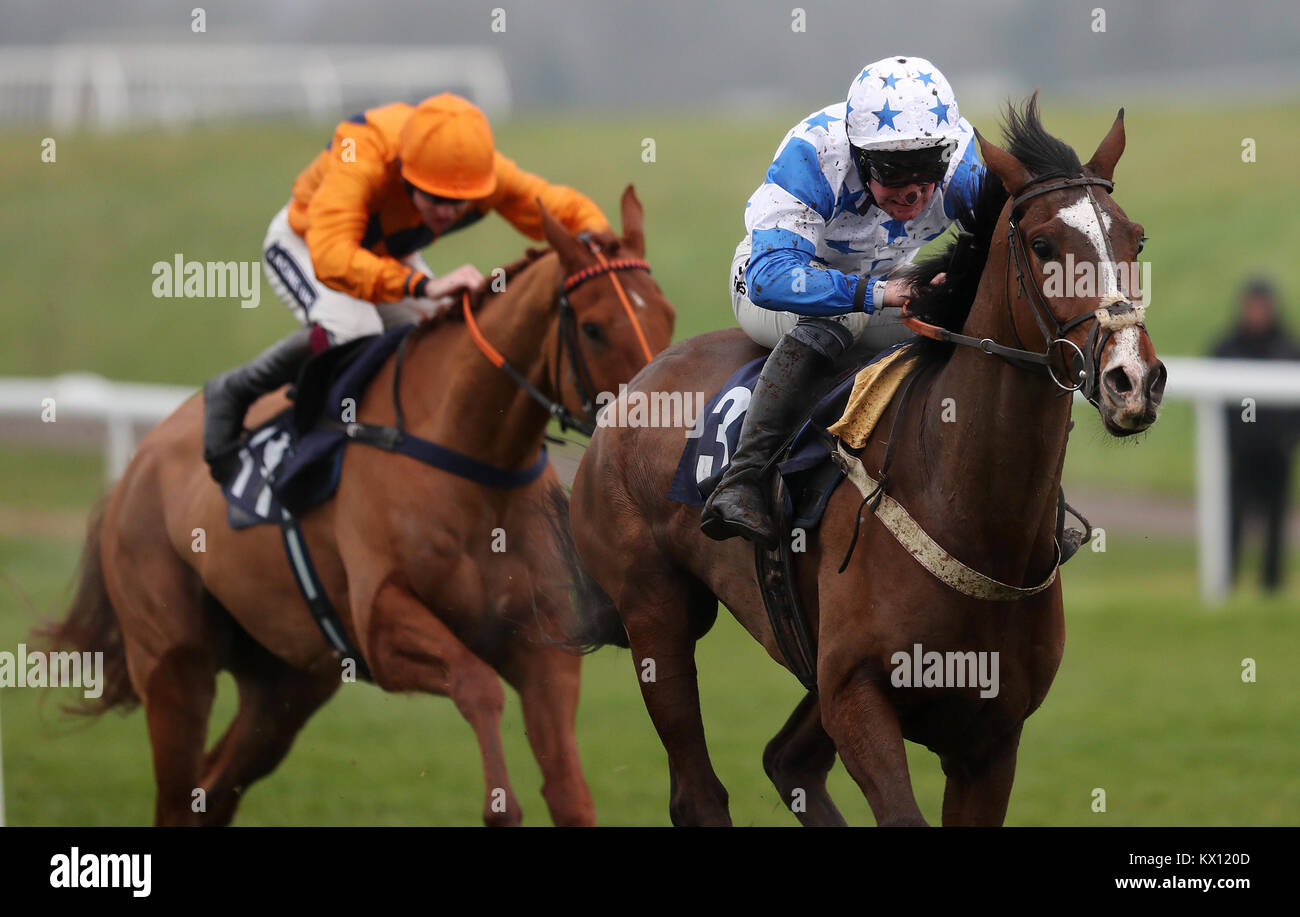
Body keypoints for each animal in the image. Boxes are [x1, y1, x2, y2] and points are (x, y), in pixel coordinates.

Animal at [45, 184, 676, 822]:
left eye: (667, 315)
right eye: (594, 328)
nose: (654, 420)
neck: (469, 456)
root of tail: (135, 469)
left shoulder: (542, 642)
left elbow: (570, 792)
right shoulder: (382, 624)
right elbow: (477, 686)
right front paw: (499, 805)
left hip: (287, 682)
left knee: (214, 787)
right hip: (174, 662)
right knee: (178, 793)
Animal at [564, 104, 1164, 827]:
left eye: (1135, 240)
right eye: (1045, 244)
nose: (1133, 380)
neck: (969, 512)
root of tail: (635, 383)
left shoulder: (990, 738)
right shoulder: (856, 696)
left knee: (786, 760)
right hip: (655, 614)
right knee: (698, 790)